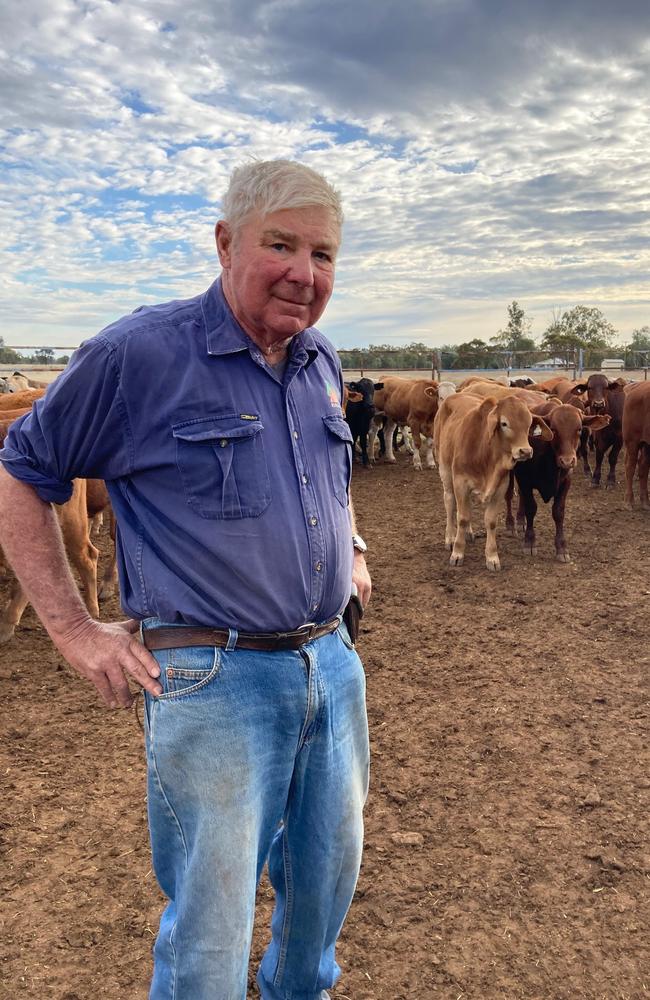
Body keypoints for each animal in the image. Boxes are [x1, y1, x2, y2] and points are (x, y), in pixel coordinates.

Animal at [432, 394, 548, 576]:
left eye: (529, 424)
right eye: (504, 423)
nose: (526, 451)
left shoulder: (500, 488)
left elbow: (490, 521)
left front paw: (492, 557)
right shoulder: (460, 483)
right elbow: (462, 517)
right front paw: (457, 553)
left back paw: (468, 533)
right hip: (445, 470)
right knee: (450, 503)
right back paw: (450, 537)